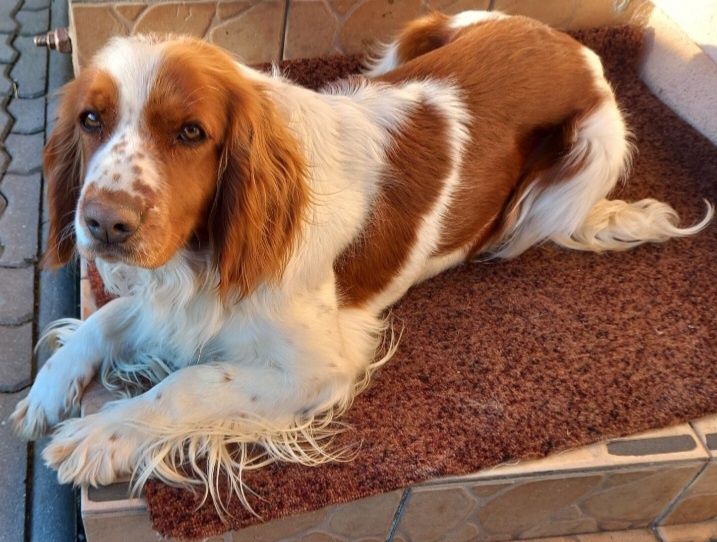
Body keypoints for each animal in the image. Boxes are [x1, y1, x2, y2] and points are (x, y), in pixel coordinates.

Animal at [11, 9, 712, 510]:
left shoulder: (320, 367)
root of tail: (577, 48)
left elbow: (189, 384)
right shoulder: (174, 301)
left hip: (579, 165)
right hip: (422, 32)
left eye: (191, 132)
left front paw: (102, 435)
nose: (103, 224)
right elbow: (106, 320)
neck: (210, 250)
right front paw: (49, 387)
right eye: (91, 119)